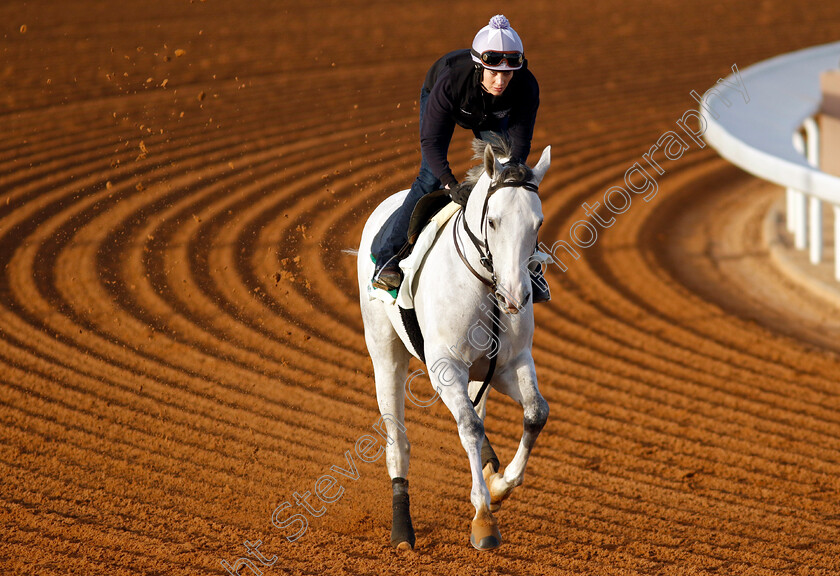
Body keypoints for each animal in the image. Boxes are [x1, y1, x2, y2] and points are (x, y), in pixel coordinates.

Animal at [356, 137, 548, 552]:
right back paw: (402, 530)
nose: (516, 296)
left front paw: (500, 485)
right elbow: (469, 426)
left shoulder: (513, 363)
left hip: (481, 370)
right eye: (493, 221)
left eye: (537, 223)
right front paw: (484, 518)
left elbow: (535, 413)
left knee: (483, 409)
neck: (486, 287)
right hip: (385, 352)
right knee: (398, 441)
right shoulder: (446, 368)